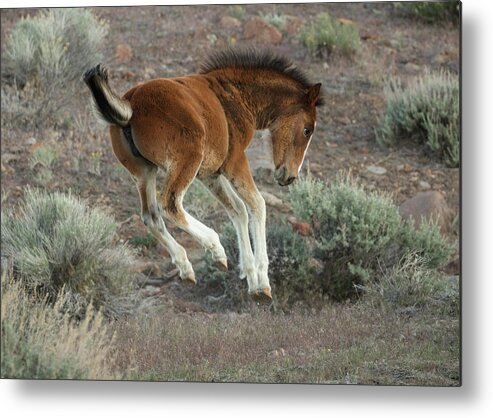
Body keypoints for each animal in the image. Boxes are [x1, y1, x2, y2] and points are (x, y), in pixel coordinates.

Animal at [83, 50, 322, 302]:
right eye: (307, 129)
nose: (289, 176)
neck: (234, 96)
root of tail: (131, 105)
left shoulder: (210, 174)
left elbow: (238, 209)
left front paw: (250, 276)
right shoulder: (235, 161)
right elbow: (257, 205)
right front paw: (263, 283)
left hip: (144, 171)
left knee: (151, 215)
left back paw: (186, 267)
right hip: (186, 160)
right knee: (170, 203)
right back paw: (215, 248)